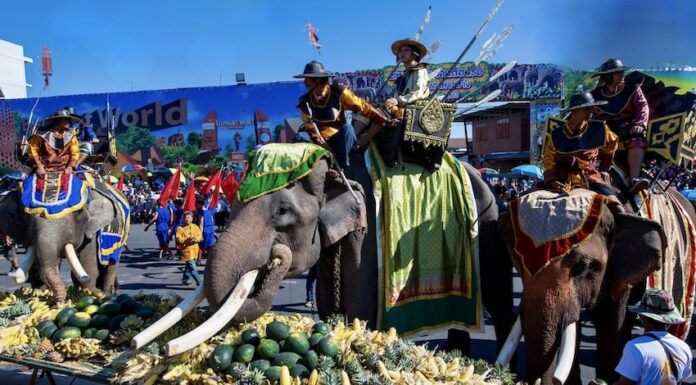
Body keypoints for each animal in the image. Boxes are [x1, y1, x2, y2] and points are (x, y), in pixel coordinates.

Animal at [0, 177, 128, 304]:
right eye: (24, 214)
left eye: (79, 212)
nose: (59, 303)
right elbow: (36, 270)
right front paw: (41, 295)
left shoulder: (90, 232)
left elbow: (88, 268)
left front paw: (89, 294)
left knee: (111, 266)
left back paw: (108, 293)